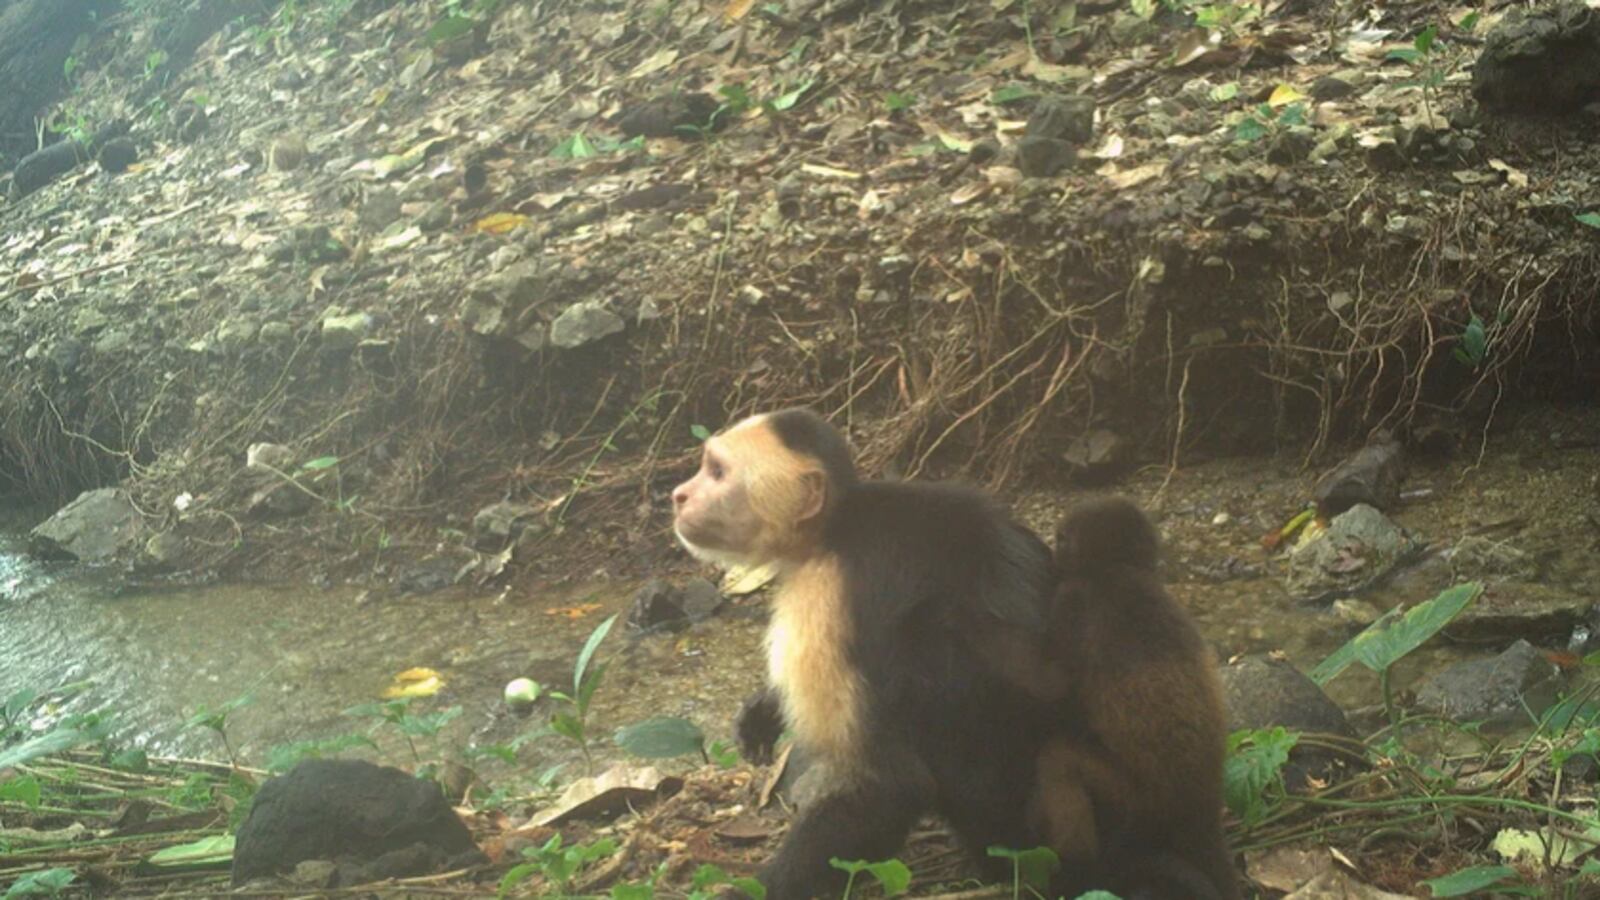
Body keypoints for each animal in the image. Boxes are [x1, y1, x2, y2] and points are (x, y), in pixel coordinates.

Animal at [669, 408, 1238, 900]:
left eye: (716, 472)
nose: (678, 495)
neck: (833, 529)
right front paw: (762, 710)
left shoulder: (825, 602)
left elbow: (889, 784)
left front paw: (753, 889)